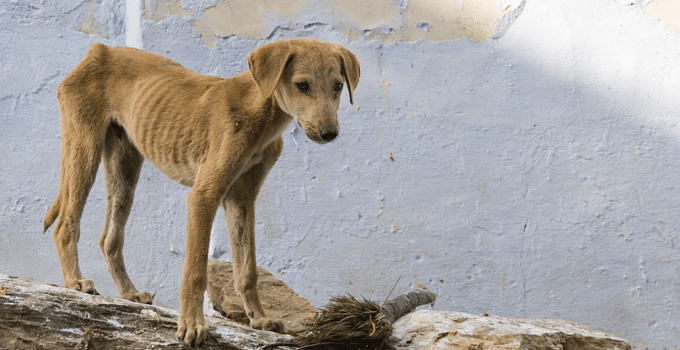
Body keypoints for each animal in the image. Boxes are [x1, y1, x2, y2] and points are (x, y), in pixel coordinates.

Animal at [43, 39, 358, 348]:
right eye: (302, 85)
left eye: (338, 86)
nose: (330, 133)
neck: (260, 112)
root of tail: (98, 49)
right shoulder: (203, 196)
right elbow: (196, 270)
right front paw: (192, 325)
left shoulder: (241, 199)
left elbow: (247, 269)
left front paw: (259, 319)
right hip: (84, 148)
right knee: (65, 224)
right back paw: (74, 282)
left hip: (124, 168)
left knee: (110, 239)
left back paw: (129, 294)